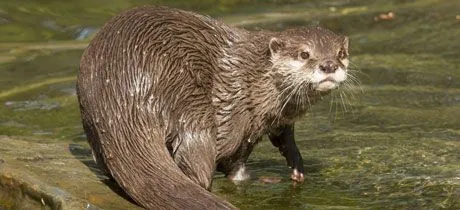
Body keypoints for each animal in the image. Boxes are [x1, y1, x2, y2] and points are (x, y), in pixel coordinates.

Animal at [76, 5, 348, 209]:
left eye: (341, 53)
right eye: (304, 54)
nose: (328, 65)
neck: (253, 78)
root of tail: (124, 99)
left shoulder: (265, 125)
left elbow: (276, 142)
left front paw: (295, 165)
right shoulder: (234, 111)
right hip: (188, 99)